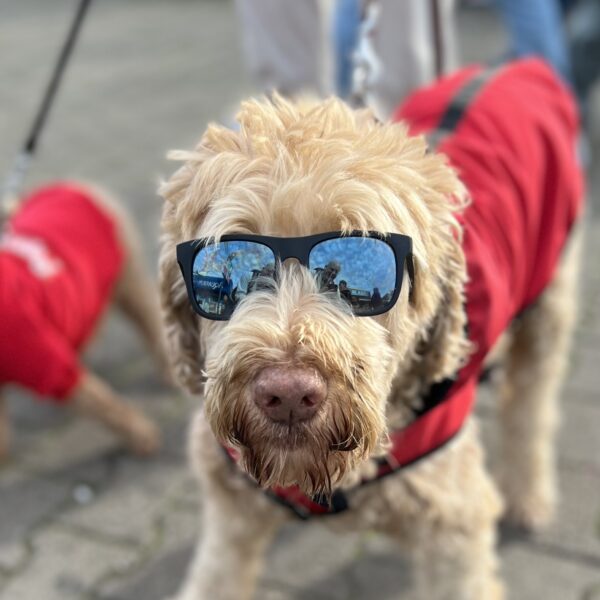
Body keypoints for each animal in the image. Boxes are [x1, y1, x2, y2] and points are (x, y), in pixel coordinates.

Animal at [0, 180, 166, 458]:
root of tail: (71, 185)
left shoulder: (46, 362)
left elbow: (105, 405)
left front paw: (142, 435)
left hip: (128, 279)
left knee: (151, 325)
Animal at [158, 57, 580, 600]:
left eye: (362, 252)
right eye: (235, 253)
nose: (287, 393)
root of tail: (511, 67)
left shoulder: (453, 526)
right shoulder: (232, 510)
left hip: (550, 300)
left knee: (531, 403)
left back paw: (528, 497)